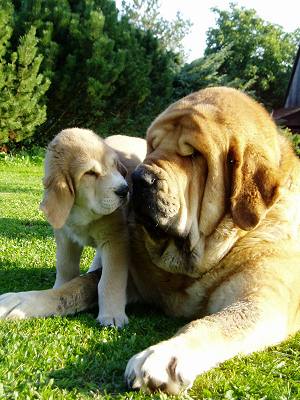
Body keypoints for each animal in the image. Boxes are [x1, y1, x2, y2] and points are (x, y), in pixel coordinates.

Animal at [40, 129, 131, 328]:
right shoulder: (65, 237)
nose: (125, 189)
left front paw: (112, 314)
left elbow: (110, 280)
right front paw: (59, 290)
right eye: (90, 173)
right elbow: (65, 266)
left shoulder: (116, 239)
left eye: (114, 166)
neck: (84, 213)